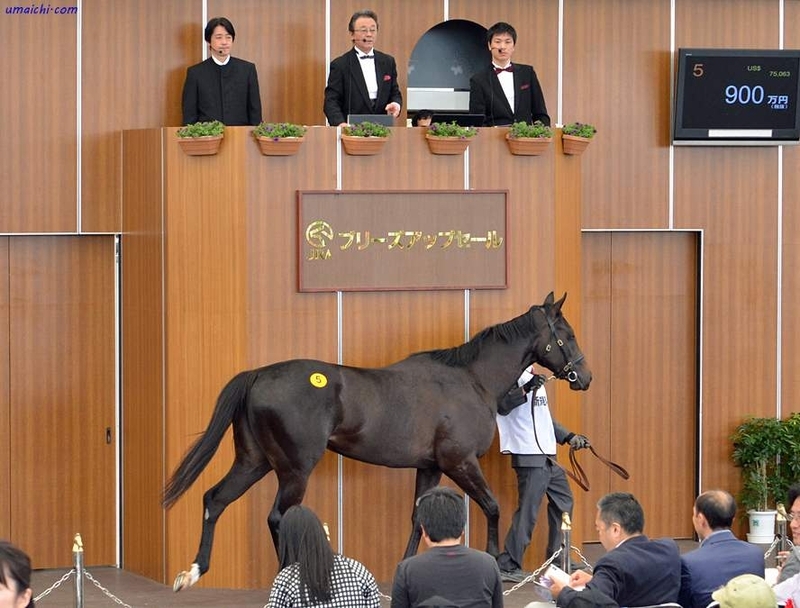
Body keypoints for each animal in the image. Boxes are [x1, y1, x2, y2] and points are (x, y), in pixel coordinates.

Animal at [163, 291, 591, 591]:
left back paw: (193, 572)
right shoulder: (460, 463)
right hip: (293, 470)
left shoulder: (430, 468)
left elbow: (419, 518)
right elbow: (492, 508)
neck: (471, 380)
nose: (585, 377)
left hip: (254, 462)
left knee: (214, 500)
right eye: (567, 335)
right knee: (278, 518)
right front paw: (497, 564)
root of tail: (258, 375)